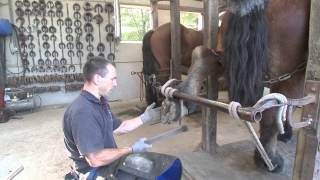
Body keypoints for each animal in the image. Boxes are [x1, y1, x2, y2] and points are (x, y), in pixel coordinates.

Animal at [160, 0, 310, 172]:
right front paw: (285, 134)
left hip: (227, 56)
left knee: (205, 56)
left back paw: (180, 99)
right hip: (290, 76)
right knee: (276, 110)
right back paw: (269, 160)